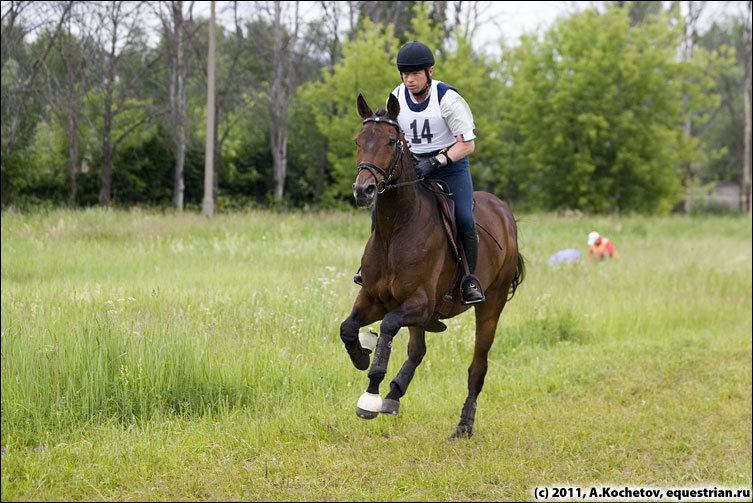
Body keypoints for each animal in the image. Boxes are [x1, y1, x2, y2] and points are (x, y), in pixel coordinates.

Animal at [338, 92, 524, 440]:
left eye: (391, 141)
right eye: (358, 140)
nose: (363, 190)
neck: (396, 229)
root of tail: (505, 213)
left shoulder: (419, 304)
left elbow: (387, 327)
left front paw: (370, 394)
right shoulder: (374, 297)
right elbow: (347, 328)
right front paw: (360, 357)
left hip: (490, 304)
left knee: (478, 366)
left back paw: (463, 425)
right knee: (417, 350)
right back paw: (394, 395)